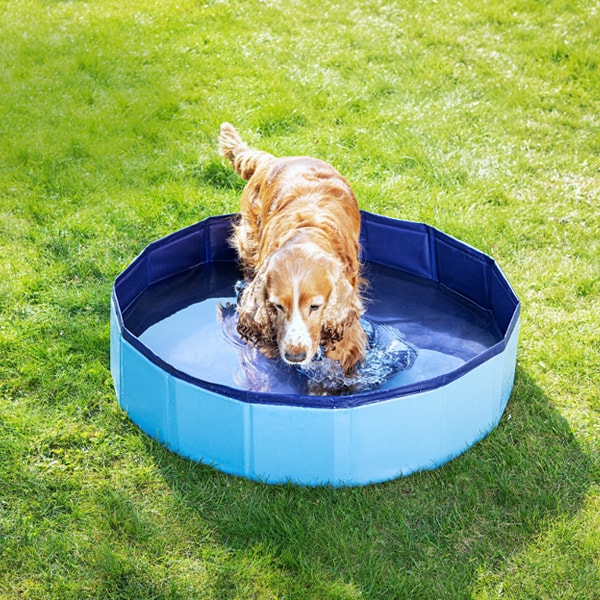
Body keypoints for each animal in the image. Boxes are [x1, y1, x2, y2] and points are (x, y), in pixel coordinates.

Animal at [219, 122, 366, 376]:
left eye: (315, 307)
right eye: (277, 306)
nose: (295, 356)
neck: (306, 234)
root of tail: (271, 160)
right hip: (249, 238)